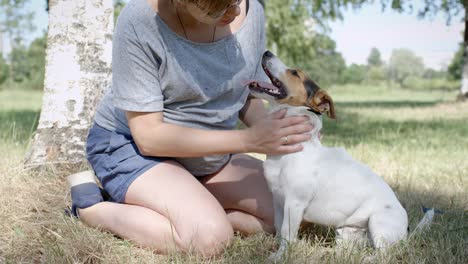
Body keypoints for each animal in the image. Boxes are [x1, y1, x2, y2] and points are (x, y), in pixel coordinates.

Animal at [249, 51, 432, 260]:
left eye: (295, 72)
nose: (267, 52)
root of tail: (406, 232)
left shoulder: (293, 203)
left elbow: (287, 234)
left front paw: (280, 256)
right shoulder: (278, 202)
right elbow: (279, 229)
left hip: (378, 222)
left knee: (384, 253)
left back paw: (369, 258)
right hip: (345, 233)